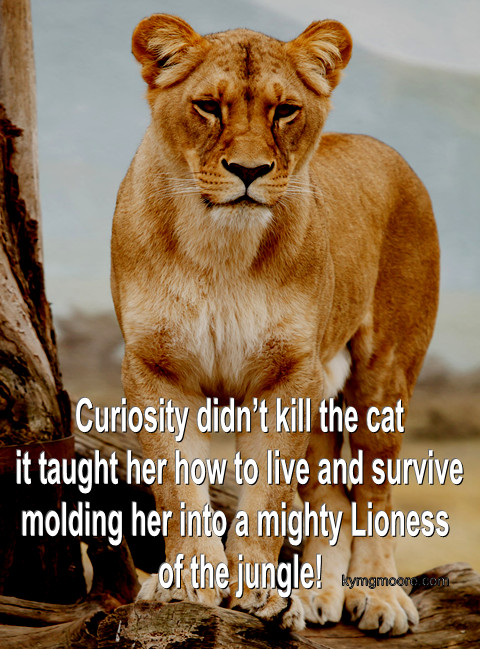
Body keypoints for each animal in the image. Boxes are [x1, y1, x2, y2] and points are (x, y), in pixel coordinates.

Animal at [111, 14, 439, 634]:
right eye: (208, 106)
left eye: (285, 110)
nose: (248, 171)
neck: (219, 246)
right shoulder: (155, 366)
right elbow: (180, 491)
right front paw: (187, 584)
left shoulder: (286, 373)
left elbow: (266, 495)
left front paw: (256, 592)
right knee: (332, 494)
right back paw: (316, 596)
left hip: (383, 375)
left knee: (374, 492)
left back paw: (380, 598)